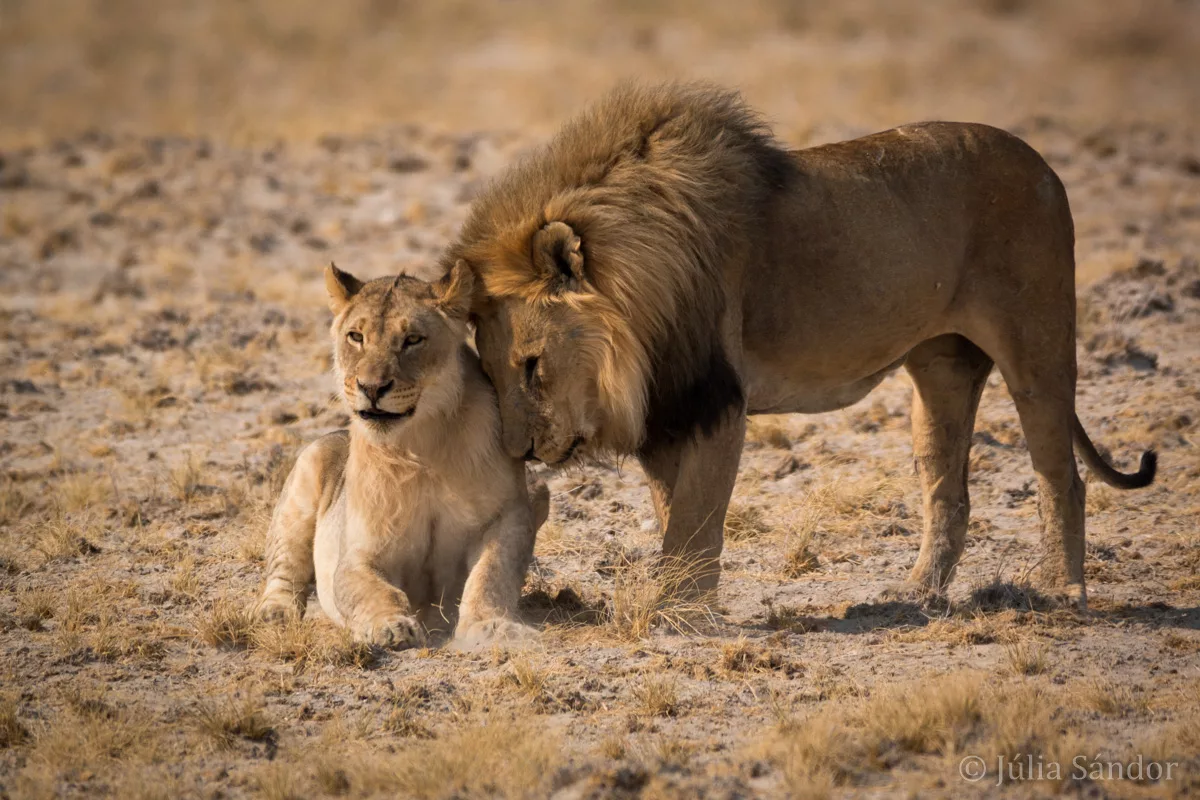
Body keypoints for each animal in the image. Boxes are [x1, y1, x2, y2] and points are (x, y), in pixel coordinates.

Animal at [255, 262, 549, 647]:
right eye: (356, 337)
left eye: (412, 340)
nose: (371, 388)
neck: (422, 444)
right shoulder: (359, 551)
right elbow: (369, 589)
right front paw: (390, 625)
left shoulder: (509, 515)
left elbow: (491, 575)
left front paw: (494, 627)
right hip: (305, 477)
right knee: (284, 570)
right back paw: (273, 612)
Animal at [441, 81, 1155, 608]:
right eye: (490, 374)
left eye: (532, 366)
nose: (520, 451)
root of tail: (1044, 164)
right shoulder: (668, 413)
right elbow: (675, 513)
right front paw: (680, 602)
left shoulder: (715, 403)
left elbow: (695, 522)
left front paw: (677, 613)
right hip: (941, 370)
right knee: (948, 490)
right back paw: (918, 593)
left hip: (1037, 346)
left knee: (1061, 476)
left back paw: (1063, 590)